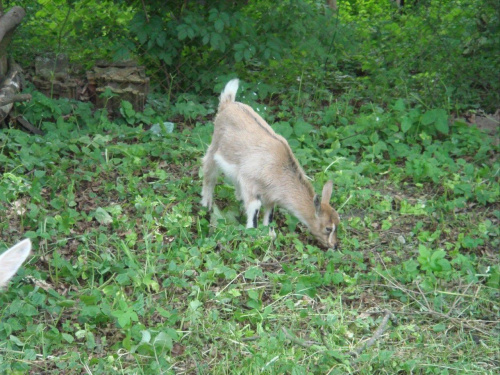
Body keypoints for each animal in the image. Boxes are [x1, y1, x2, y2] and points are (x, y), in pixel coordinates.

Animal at [201, 79, 342, 250]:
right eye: (328, 228)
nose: (335, 245)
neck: (277, 168)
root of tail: (228, 103)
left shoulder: (270, 194)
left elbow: (270, 212)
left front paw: (270, 234)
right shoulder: (249, 182)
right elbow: (255, 207)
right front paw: (253, 235)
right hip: (215, 146)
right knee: (208, 171)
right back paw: (206, 203)